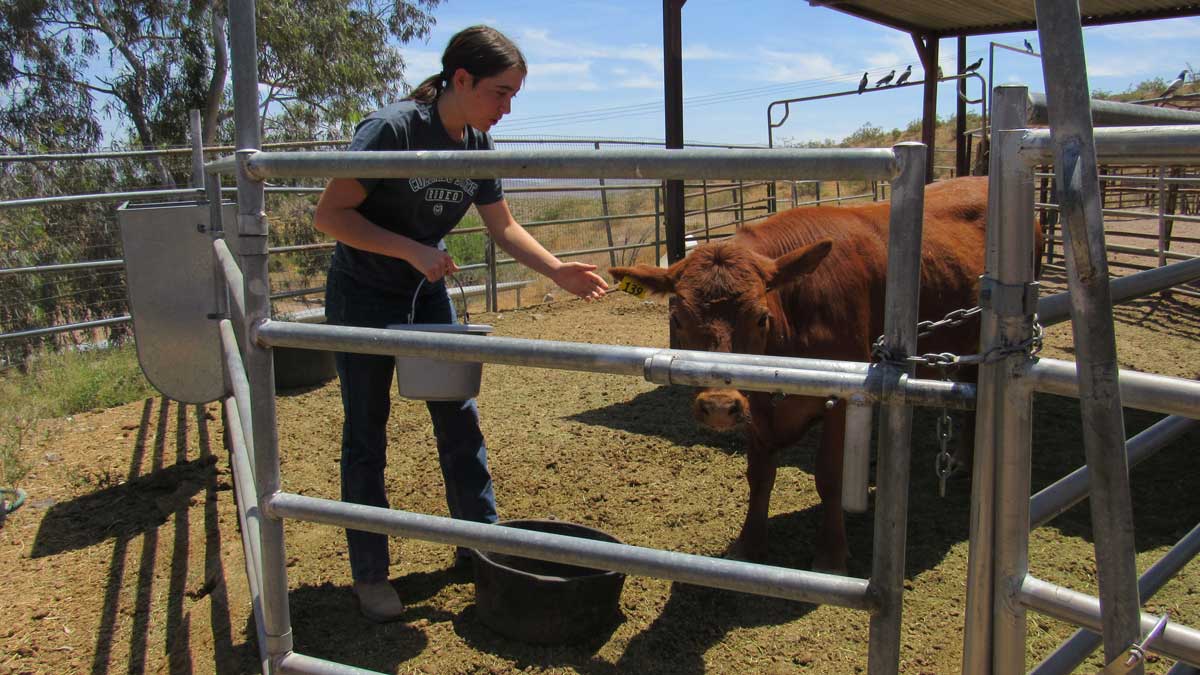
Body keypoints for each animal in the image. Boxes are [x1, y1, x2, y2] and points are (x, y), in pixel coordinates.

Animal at [619, 176, 1032, 569]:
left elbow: (830, 476)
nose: (719, 405)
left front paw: (832, 555)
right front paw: (749, 545)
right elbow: (759, 474)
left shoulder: (844, 399)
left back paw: (962, 462)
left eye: (761, 317)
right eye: (676, 319)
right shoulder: (755, 405)